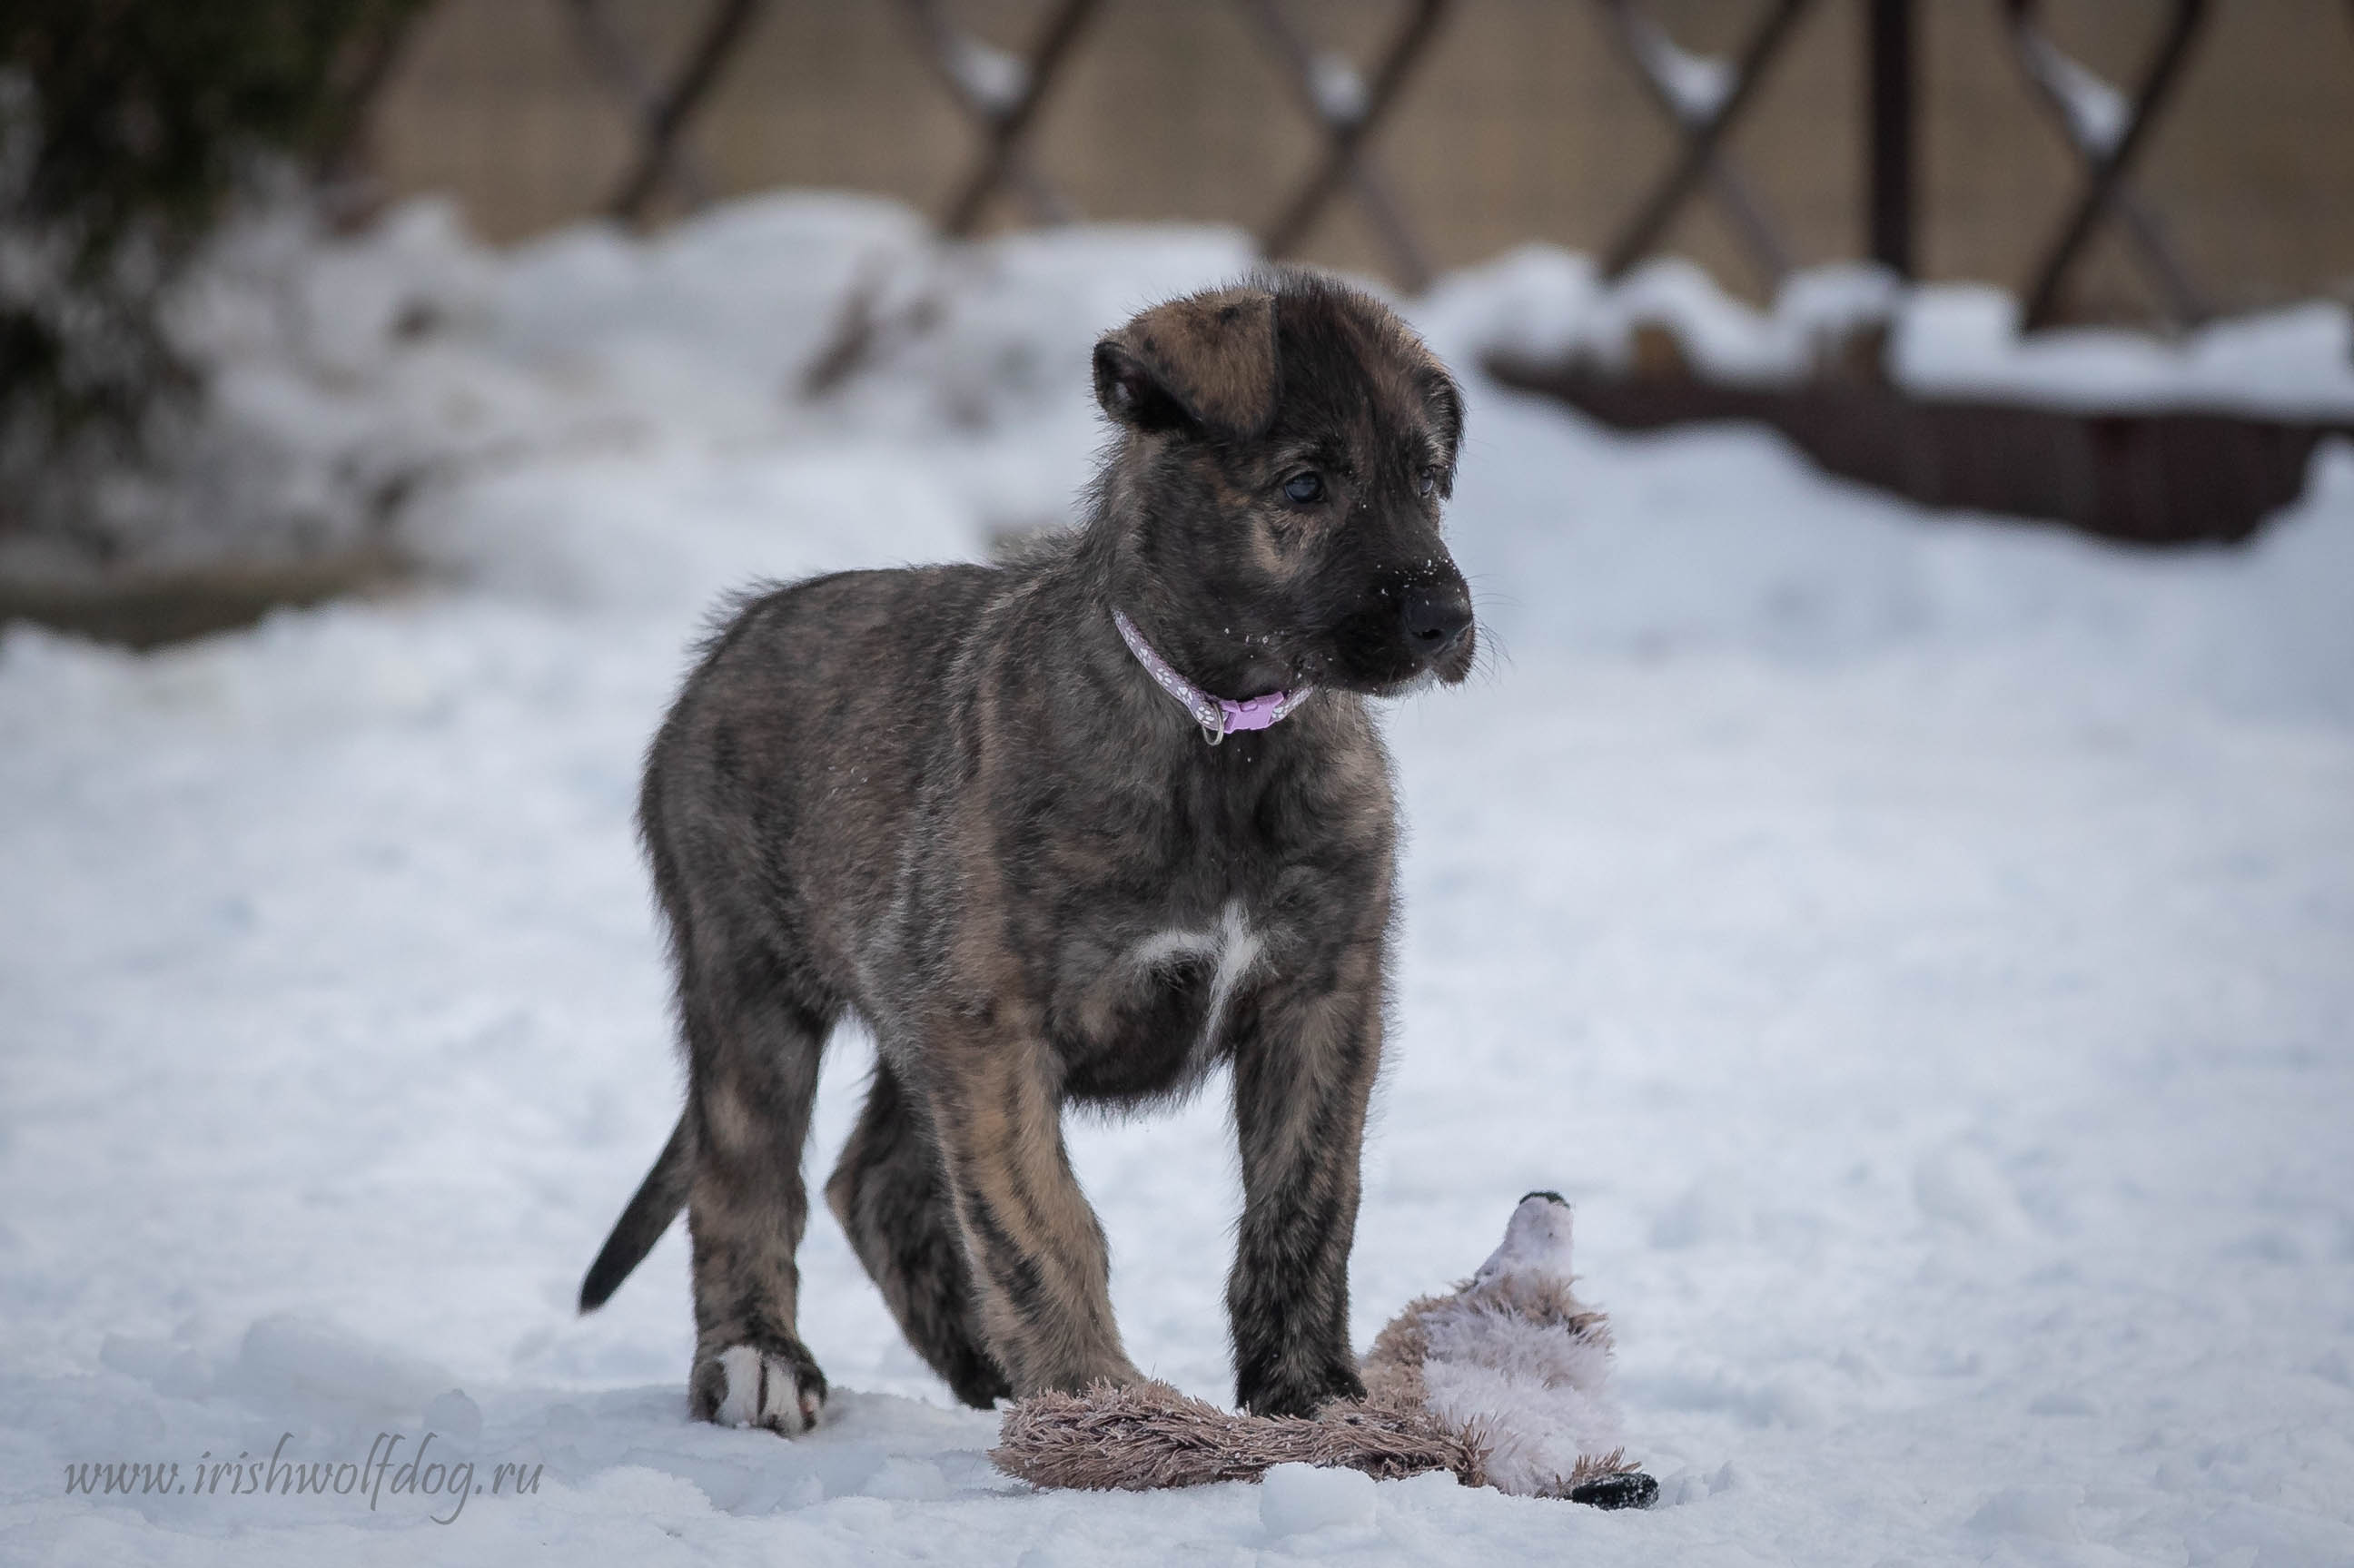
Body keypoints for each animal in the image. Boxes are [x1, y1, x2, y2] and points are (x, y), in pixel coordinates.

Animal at [579, 268, 1469, 1431]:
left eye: (1432, 480)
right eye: (1307, 485)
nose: (1447, 618)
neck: (1218, 735)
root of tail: (734, 633)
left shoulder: (1323, 998)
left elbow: (1308, 1204)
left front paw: (1311, 1398)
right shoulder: (990, 1024)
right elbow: (1043, 1219)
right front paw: (1100, 1397)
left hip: (902, 1002)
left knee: (876, 1180)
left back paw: (983, 1368)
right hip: (751, 980)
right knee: (749, 1174)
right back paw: (757, 1356)